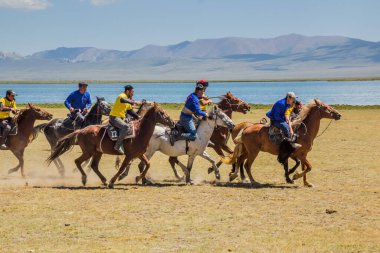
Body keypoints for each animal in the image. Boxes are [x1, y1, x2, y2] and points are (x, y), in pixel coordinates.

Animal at [46, 103, 175, 188]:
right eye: (162, 113)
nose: (173, 122)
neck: (139, 132)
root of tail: (81, 130)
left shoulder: (139, 154)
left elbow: (147, 164)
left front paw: (138, 178)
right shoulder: (129, 155)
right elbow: (123, 167)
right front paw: (114, 180)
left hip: (98, 152)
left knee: (94, 166)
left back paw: (104, 181)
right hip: (88, 152)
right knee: (78, 161)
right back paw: (84, 179)